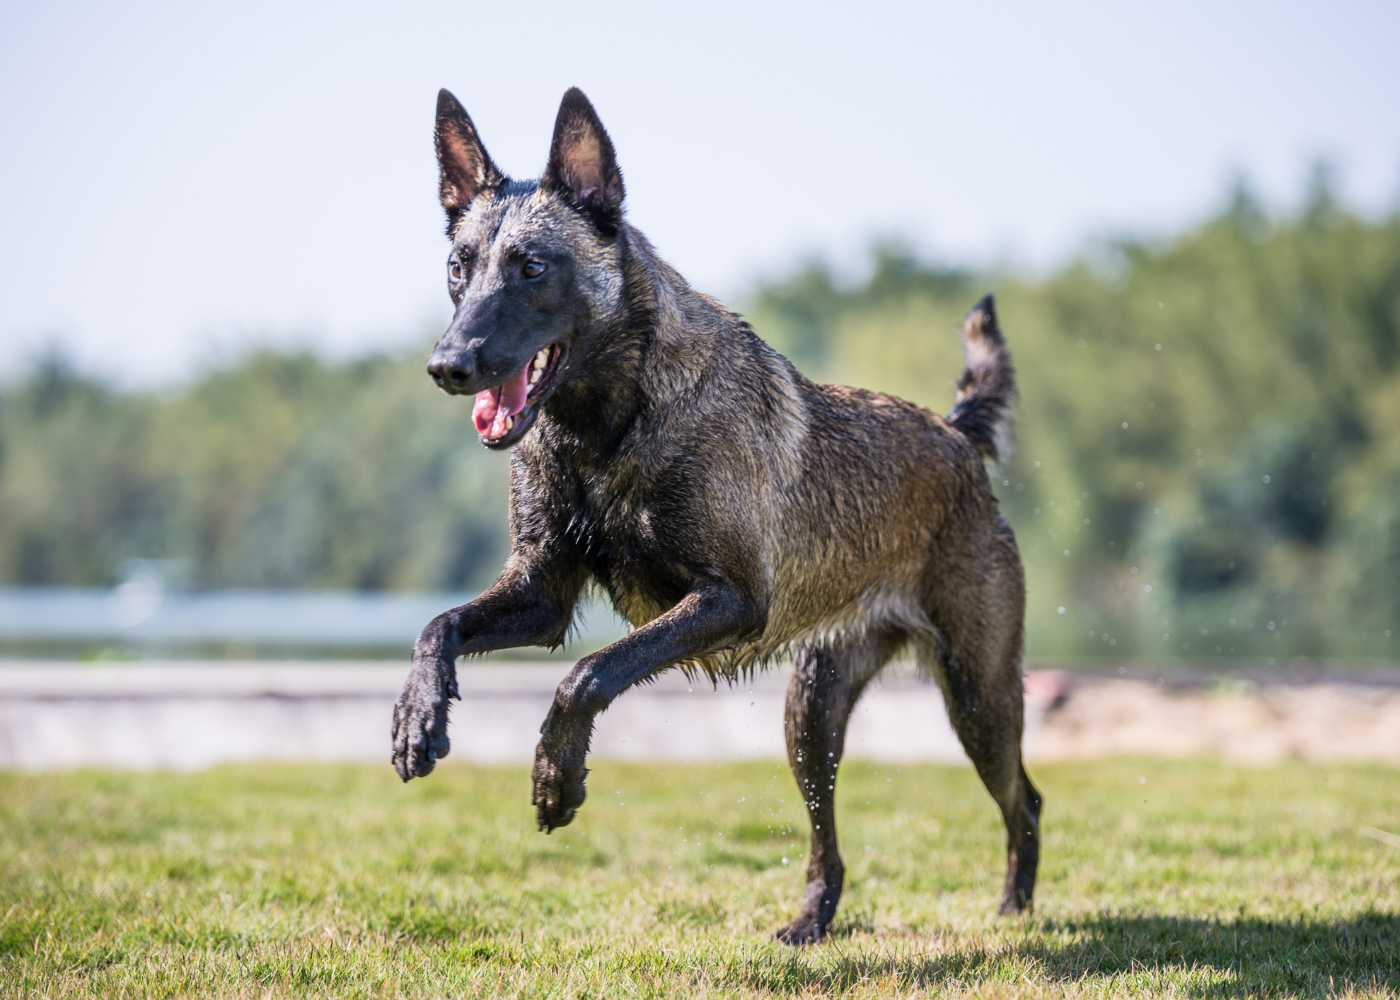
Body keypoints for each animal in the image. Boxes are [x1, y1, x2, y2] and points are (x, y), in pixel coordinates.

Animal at [394, 87, 1041, 941]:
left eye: (533, 268)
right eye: (458, 269)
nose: (447, 365)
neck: (608, 423)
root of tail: (956, 434)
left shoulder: (729, 599)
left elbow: (588, 674)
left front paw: (555, 779)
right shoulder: (541, 595)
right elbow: (438, 626)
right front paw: (417, 715)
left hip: (977, 695)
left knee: (1024, 798)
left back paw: (1015, 907)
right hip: (811, 715)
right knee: (828, 840)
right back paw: (811, 922)